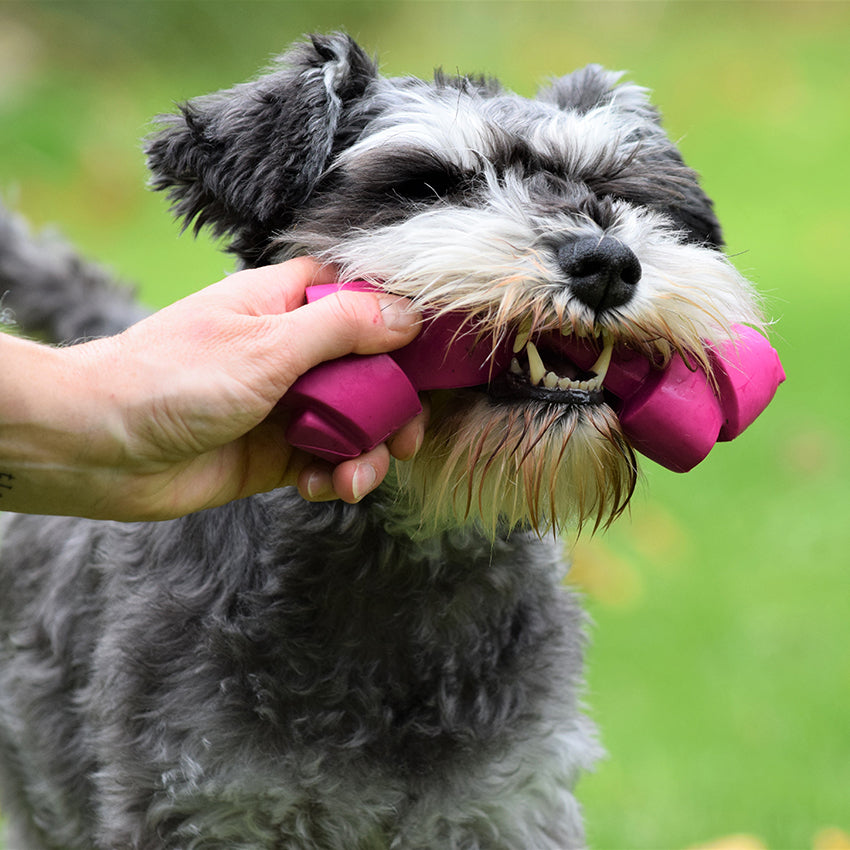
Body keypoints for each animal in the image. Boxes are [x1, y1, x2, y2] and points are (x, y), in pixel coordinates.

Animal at [0, 33, 756, 848]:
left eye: (612, 187)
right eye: (424, 186)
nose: (608, 264)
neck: (411, 562)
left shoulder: (508, 806)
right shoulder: (194, 806)